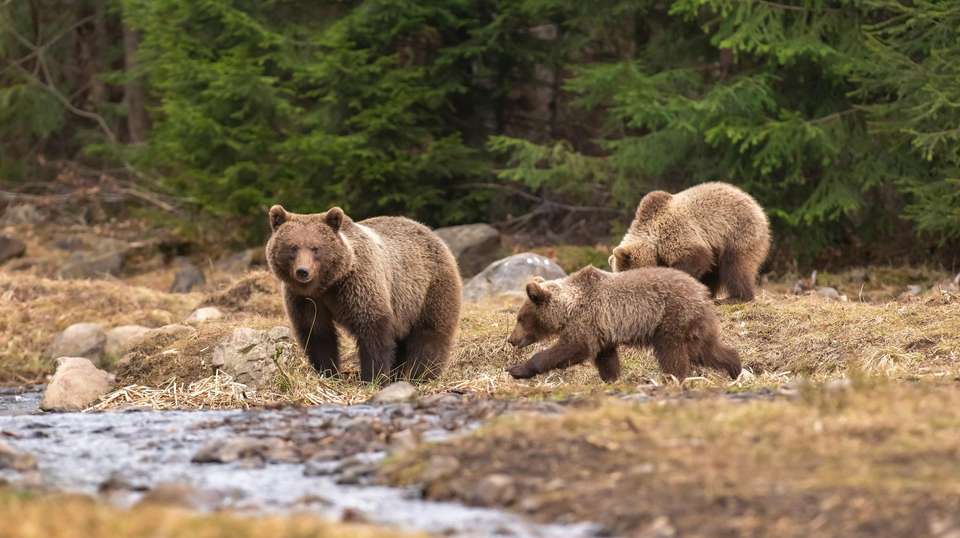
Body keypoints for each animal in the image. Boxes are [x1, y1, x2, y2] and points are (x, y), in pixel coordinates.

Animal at [266, 205, 462, 382]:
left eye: (315, 248)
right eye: (293, 247)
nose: (303, 271)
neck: (327, 284)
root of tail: (429, 231)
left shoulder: (357, 283)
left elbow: (371, 327)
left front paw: (373, 377)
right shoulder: (304, 299)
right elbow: (317, 332)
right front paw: (328, 373)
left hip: (429, 287)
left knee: (430, 333)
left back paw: (421, 375)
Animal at [506, 265, 741, 382]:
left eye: (520, 318)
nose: (511, 339)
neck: (569, 307)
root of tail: (703, 291)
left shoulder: (586, 319)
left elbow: (572, 348)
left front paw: (517, 369)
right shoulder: (602, 329)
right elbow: (606, 358)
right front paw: (611, 380)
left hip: (672, 318)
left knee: (672, 353)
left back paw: (674, 379)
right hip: (695, 324)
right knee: (706, 350)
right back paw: (735, 368)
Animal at [609, 182, 770, 302]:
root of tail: (758, 207)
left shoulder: (675, 232)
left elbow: (696, 258)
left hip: (737, 231)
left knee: (735, 265)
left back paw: (737, 297)